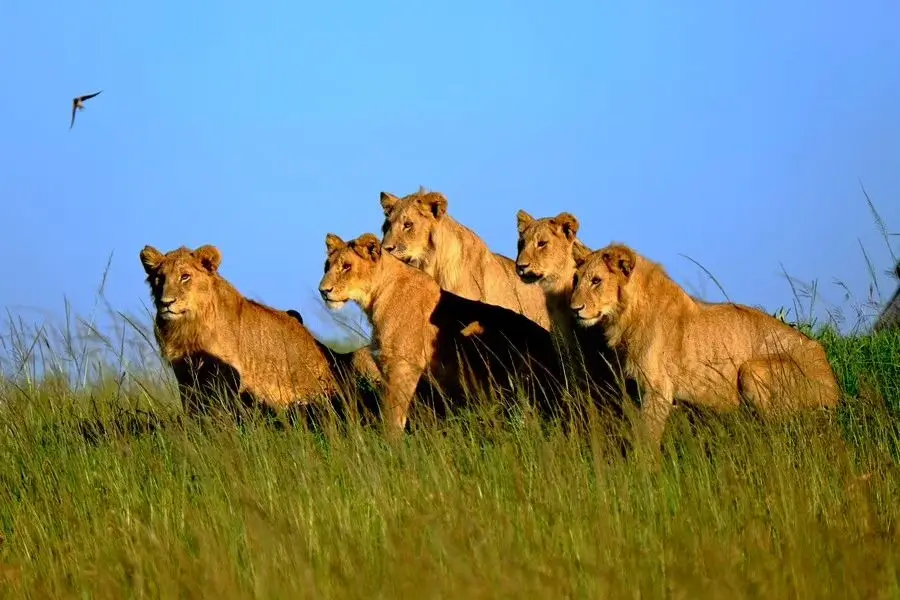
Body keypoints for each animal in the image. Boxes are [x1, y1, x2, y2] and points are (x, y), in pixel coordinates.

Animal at [139, 244, 382, 418]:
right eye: (159, 279)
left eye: (185, 277)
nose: (166, 303)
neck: (187, 327)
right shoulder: (185, 377)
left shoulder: (228, 378)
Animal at [320, 232, 568, 434]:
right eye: (327, 265)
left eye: (347, 266)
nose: (323, 291)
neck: (376, 295)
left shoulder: (403, 365)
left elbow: (392, 416)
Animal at [568, 243, 844, 446]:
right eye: (576, 280)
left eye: (596, 281)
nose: (574, 309)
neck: (625, 315)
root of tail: (835, 387)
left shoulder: (658, 390)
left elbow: (648, 440)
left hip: (753, 370)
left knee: (777, 428)